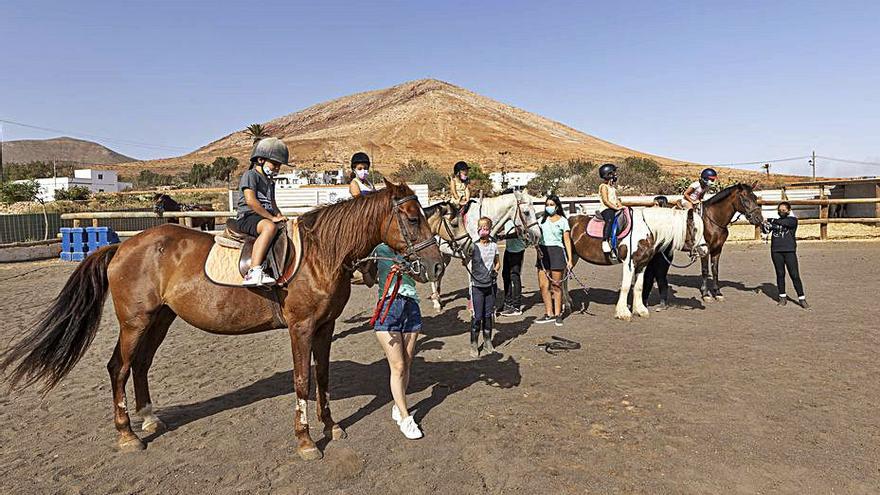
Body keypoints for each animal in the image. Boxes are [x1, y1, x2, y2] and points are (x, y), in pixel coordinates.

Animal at [0, 181, 440, 462]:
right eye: (411, 219)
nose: (436, 265)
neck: (321, 253)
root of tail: (122, 246)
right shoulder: (300, 328)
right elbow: (302, 381)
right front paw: (305, 442)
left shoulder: (325, 328)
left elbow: (323, 377)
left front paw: (331, 427)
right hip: (135, 322)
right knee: (118, 367)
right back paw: (126, 434)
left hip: (160, 320)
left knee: (140, 365)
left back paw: (149, 419)